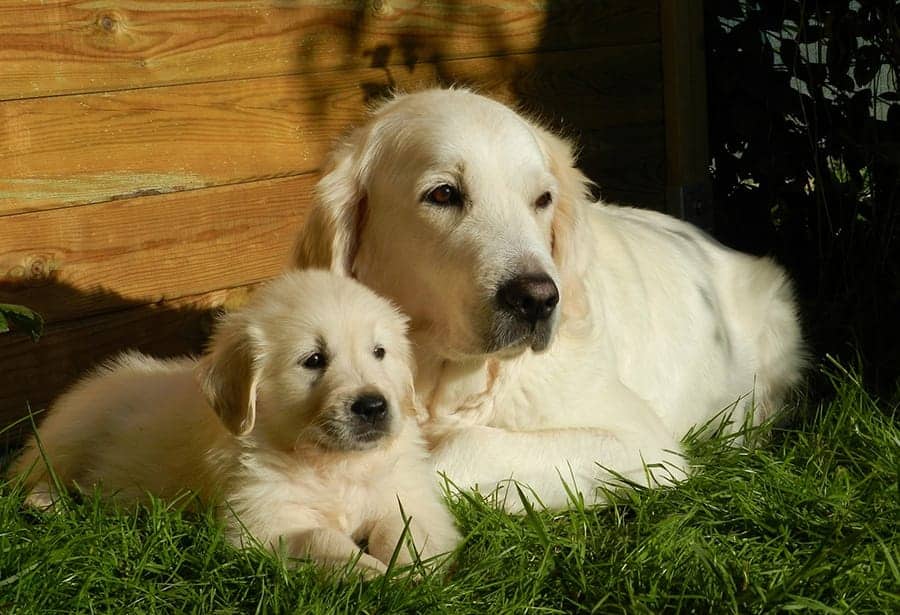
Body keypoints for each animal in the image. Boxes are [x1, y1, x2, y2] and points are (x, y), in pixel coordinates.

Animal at [12, 270, 464, 576]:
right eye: (314, 360)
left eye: (379, 352)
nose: (373, 406)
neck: (330, 464)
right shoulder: (260, 522)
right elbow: (321, 538)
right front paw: (372, 574)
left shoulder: (408, 495)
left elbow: (405, 528)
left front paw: (409, 572)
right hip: (72, 429)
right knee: (30, 472)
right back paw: (47, 502)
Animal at [292, 86, 804, 510]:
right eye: (443, 194)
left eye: (542, 199)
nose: (537, 300)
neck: (443, 382)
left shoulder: (644, 443)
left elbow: (468, 445)